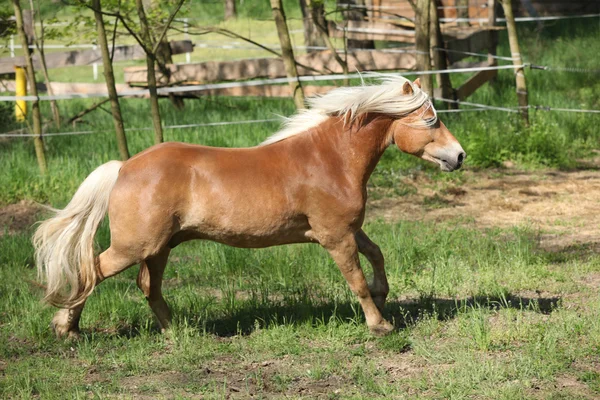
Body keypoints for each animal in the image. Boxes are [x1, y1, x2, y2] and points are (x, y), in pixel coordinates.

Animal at [34, 76, 464, 338]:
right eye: (431, 120)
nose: (458, 156)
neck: (330, 159)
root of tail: (124, 167)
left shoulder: (348, 230)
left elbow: (376, 254)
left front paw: (383, 294)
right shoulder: (334, 236)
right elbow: (356, 280)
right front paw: (380, 325)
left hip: (159, 248)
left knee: (147, 286)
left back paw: (180, 332)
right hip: (134, 246)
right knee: (90, 272)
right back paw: (66, 328)